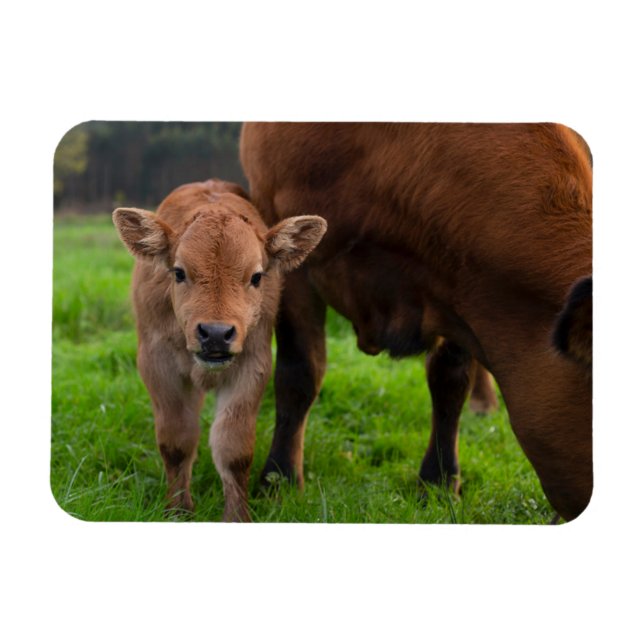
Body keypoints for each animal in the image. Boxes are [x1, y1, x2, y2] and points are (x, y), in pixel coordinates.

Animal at [112, 179, 326, 521]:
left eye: (256, 276)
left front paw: (237, 517)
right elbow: (176, 441)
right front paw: (178, 511)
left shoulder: (252, 366)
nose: (215, 334)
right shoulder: (157, 365)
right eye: (179, 272)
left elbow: (234, 449)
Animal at [240, 122, 592, 522]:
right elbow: (299, 373)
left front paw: (439, 482)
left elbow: (450, 382)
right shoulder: (288, 248)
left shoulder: (459, 286)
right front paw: (278, 482)